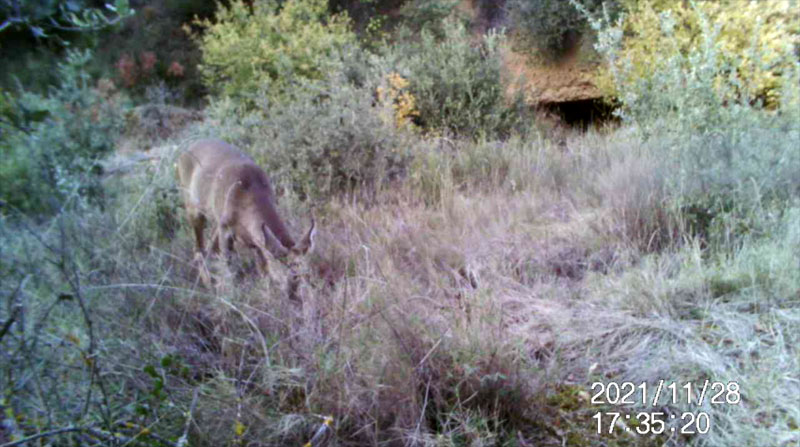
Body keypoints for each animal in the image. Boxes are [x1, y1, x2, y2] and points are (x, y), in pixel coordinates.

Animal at [177, 138, 314, 296]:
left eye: (308, 274)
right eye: (289, 276)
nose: (294, 297)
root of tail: (185, 151)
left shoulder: (255, 241)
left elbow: (263, 270)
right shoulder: (225, 228)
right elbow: (228, 265)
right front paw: (230, 293)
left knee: (209, 246)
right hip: (192, 208)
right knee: (198, 249)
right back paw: (208, 285)